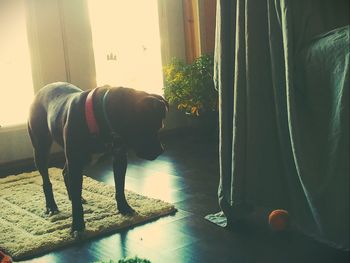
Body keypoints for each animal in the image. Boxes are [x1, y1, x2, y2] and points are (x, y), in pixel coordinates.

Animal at [28, 82, 167, 237]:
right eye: (151, 128)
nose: (161, 150)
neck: (100, 116)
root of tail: (42, 89)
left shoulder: (119, 157)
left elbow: (120, 187)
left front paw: (124, 208)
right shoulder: (75, 163)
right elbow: (76, 203)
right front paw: (77, 226)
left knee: (65, 173)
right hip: (41, 149)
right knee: (47, 181)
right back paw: (51, 206)